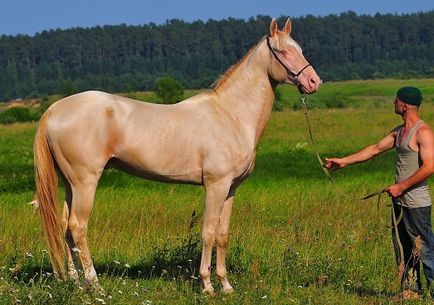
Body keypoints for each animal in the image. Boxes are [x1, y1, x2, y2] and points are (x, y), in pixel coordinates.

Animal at [34, 18, 318, 292]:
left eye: (301, 49)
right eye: (283, 51)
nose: (314, 82)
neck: (231, 114)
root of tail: (56, 108)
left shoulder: (231, 188)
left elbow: (223, 235)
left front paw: (226, 285)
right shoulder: (216, 185)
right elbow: (208, 232)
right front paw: (207, 285)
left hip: (70, 184)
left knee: (64, 226)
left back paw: (75, 282)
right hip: (85, 182)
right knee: (77, 227)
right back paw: (95, 284)